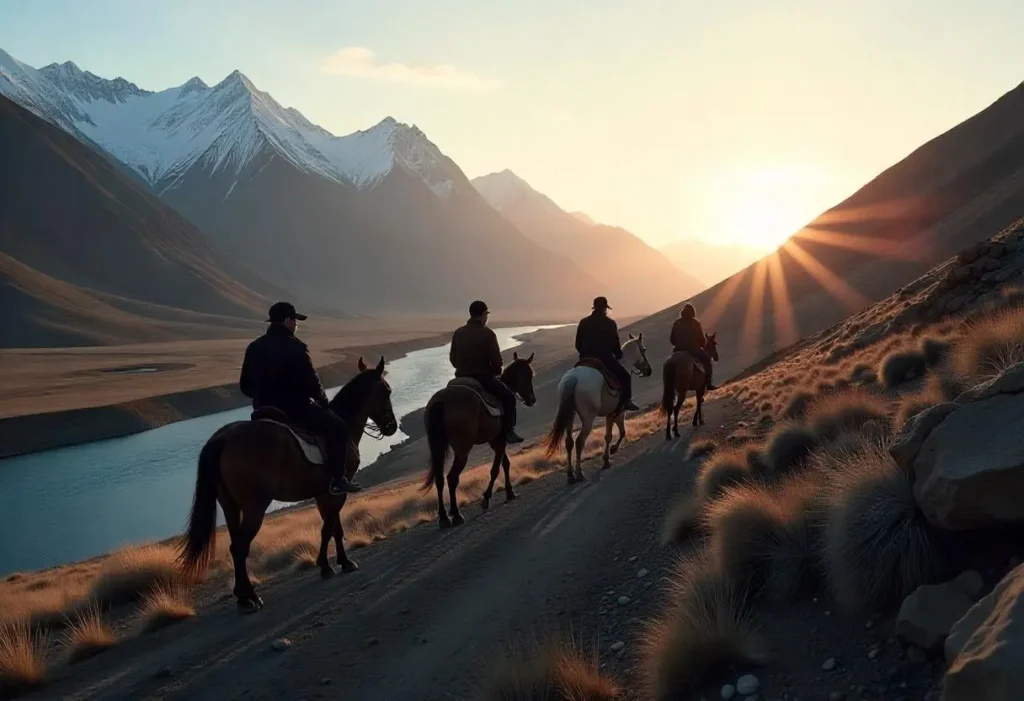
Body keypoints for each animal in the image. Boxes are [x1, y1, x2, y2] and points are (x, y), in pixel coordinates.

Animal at [178, 358, 397, 609]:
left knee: (235, 545)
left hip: (230, 505)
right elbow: (330, 528)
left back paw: (242, 596)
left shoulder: (323, 493)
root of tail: (222, 438)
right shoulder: (338, 491)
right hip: (255, 507)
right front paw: (334, 564)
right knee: (240, 547)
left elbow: (332, 527)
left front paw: (334, 563)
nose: (392, 426)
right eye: (387, 391)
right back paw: (250, 597)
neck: (345, 423)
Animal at [421, 352, 540, 528]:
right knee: (452, 478)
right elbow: (495, 469)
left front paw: (510, 492)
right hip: (462, 449)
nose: (532, 400)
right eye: (530, 374)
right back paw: (456, 515)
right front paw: (486, 498)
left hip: (437, 446)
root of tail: (442, 400)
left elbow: (505, 464)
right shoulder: (501, 439)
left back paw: (444, 518)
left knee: (439, 479)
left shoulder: (496, 441)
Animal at [540, 333, 651, 480]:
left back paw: (570, 475)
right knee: (579, 441)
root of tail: (573, 378)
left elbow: (615, 434)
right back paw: (579, 473)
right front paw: (609, 455)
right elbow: (615, 434)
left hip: (570, 415)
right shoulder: (616, 413)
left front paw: (609, 455)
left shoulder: (612, 414)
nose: (648, 370)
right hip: (588, 418)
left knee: (569, 442)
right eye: (643, 349)